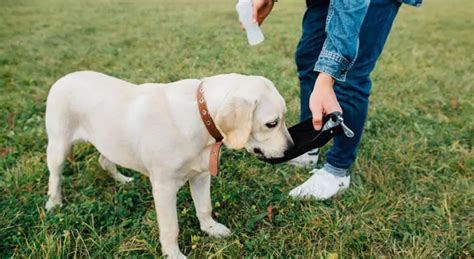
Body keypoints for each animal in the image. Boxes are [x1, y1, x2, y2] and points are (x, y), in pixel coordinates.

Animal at [46, 71, 294, 259]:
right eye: (272, 123)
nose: (292, 149)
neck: (200, 117)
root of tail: (65, 77)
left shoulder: (201, 176)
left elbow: (205, 207)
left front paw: (211, 229)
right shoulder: (164, 189)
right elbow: (170, 228)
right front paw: (173, 254)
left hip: (109, 143)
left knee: (104, 161)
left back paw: (122, 180)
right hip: (58, 147)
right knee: (55, 177)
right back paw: (54, 203)